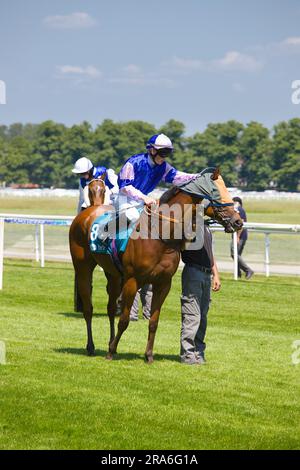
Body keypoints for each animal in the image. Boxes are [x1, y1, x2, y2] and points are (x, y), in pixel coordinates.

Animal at [69, 169, 243, 364]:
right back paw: (91, 346)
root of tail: (90, 210)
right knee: (88, 308)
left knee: (111, 308)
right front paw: (112, 352)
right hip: (83, 267)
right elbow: (124, 320)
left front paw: (148, 355)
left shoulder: (163, 283)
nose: (238, 222)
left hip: (113, 274)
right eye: (216, 192)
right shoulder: (132, 281)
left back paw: (109, 341)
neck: (160, 235)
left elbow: (153, 321)